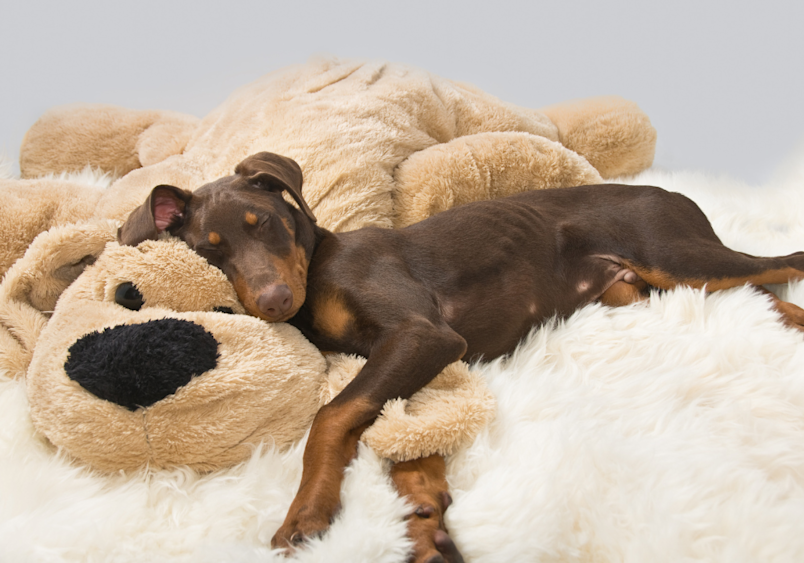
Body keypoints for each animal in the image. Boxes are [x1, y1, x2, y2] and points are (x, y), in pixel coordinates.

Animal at [119, 153, 804, 563]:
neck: (317, 272)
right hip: (641, 286)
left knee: (781, 264)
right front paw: (425, 520)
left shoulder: (421, 336)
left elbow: (332, 416)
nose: (274, 302)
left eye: (263, 223)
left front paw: (307, 510)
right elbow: (403, 436)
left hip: (676, 255)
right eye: (212, 250)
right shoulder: (413, 361)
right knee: (755, 292)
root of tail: (672, 191)